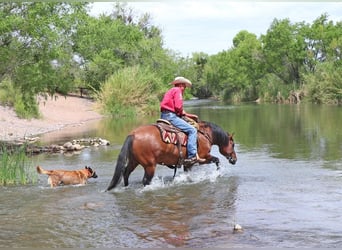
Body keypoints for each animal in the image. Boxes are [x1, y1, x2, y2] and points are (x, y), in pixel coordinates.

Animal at [106, 120, 235, 190]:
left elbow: (187, 174)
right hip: (149, 165)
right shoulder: (202, 158)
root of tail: (132, 135)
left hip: (134, 161)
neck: (205, 135)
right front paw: (218, 174)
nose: (234, 159)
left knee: (126, 173)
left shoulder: (188, 163)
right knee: (146, 180)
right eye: (233, 144)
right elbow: (217, 160)